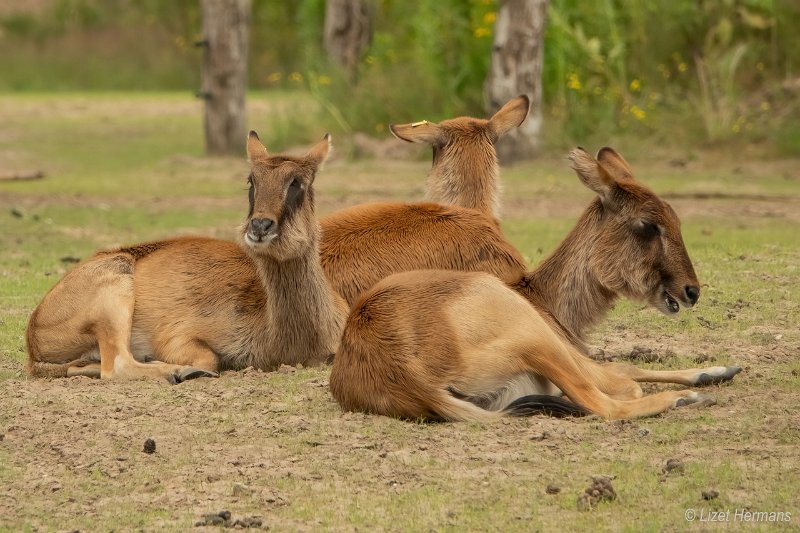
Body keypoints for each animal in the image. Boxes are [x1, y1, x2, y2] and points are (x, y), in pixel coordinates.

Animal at [26, 133, 346, 382]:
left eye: (297, 182)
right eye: (251, 181)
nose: (259, 226)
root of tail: (34, 329)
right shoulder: (180, 337)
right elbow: (209, 359)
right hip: (115, 295)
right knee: (116, 365)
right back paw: (177, 372)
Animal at [328, 147, 740, 420]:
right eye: (647, 224)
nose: (690, 290)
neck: (543, 297)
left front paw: (720, 370)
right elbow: (624, 373)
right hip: (535, 340)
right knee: (604, 403)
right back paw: (684, 399)